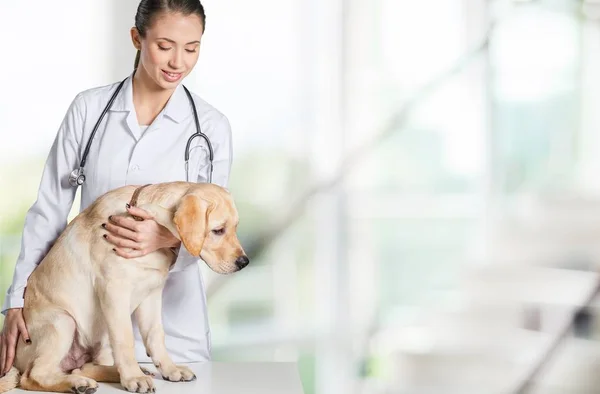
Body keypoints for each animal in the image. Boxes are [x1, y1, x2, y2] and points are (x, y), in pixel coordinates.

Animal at [0, 180, 248, 392]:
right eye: (218, 230)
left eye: (235, 227)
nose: (244, 262)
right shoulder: (114, 291)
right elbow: (126, 340)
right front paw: (134, 378)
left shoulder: (151, 294)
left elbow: (155, 336)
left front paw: (170, 369)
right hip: (63, 322)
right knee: (33, 376)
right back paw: (80, 383)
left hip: (98, 334)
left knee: (83, 366)